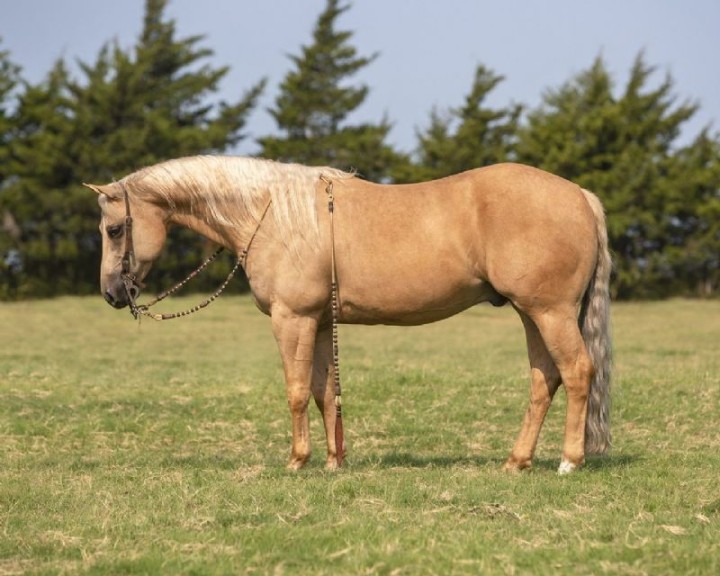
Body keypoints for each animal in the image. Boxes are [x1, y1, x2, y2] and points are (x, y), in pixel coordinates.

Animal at [85, 155, 612, 474]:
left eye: (113, 230)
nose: (112, 293)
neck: (272, 213)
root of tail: (580, 196)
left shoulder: (292, 319)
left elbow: (297, 392)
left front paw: (297, 461)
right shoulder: (319, 323)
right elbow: (324, 393)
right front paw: (334, 461)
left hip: (550, 312)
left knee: (576, 372)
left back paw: (569, 461)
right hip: (532, 313)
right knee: (545, 380)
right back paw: (516, 462)